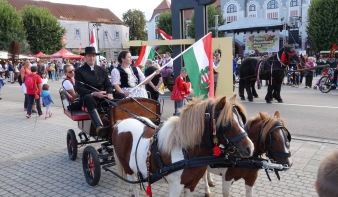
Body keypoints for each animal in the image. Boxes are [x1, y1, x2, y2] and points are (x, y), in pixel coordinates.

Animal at [111, 95, 254, 195]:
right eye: (226, 123)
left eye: (240, 120)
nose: (250, 148)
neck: (185, 152)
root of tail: (119, 123)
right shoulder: (175, 187)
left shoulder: (191, 184)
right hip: (127, 168)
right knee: (133, 184)